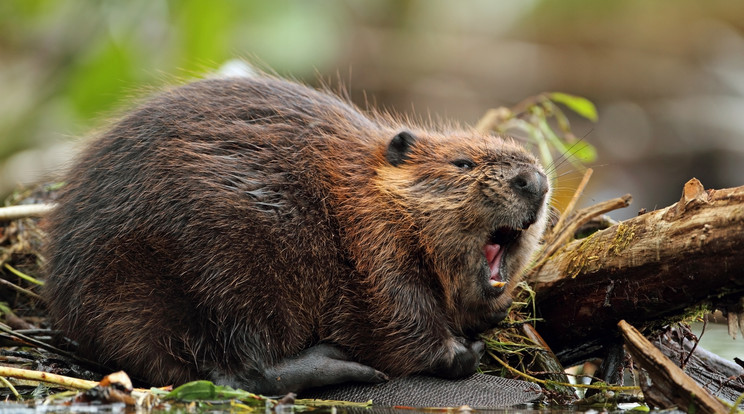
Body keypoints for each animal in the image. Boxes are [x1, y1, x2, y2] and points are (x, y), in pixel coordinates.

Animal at [42, 74, 552, 394]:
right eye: (462, 163)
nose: (535, 181)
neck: (363, 191)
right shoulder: (375, 248)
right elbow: (399, 319)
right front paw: (462, 351)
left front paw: (491, 316)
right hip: (227, 267)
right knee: (238, 369)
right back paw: (338, 362)